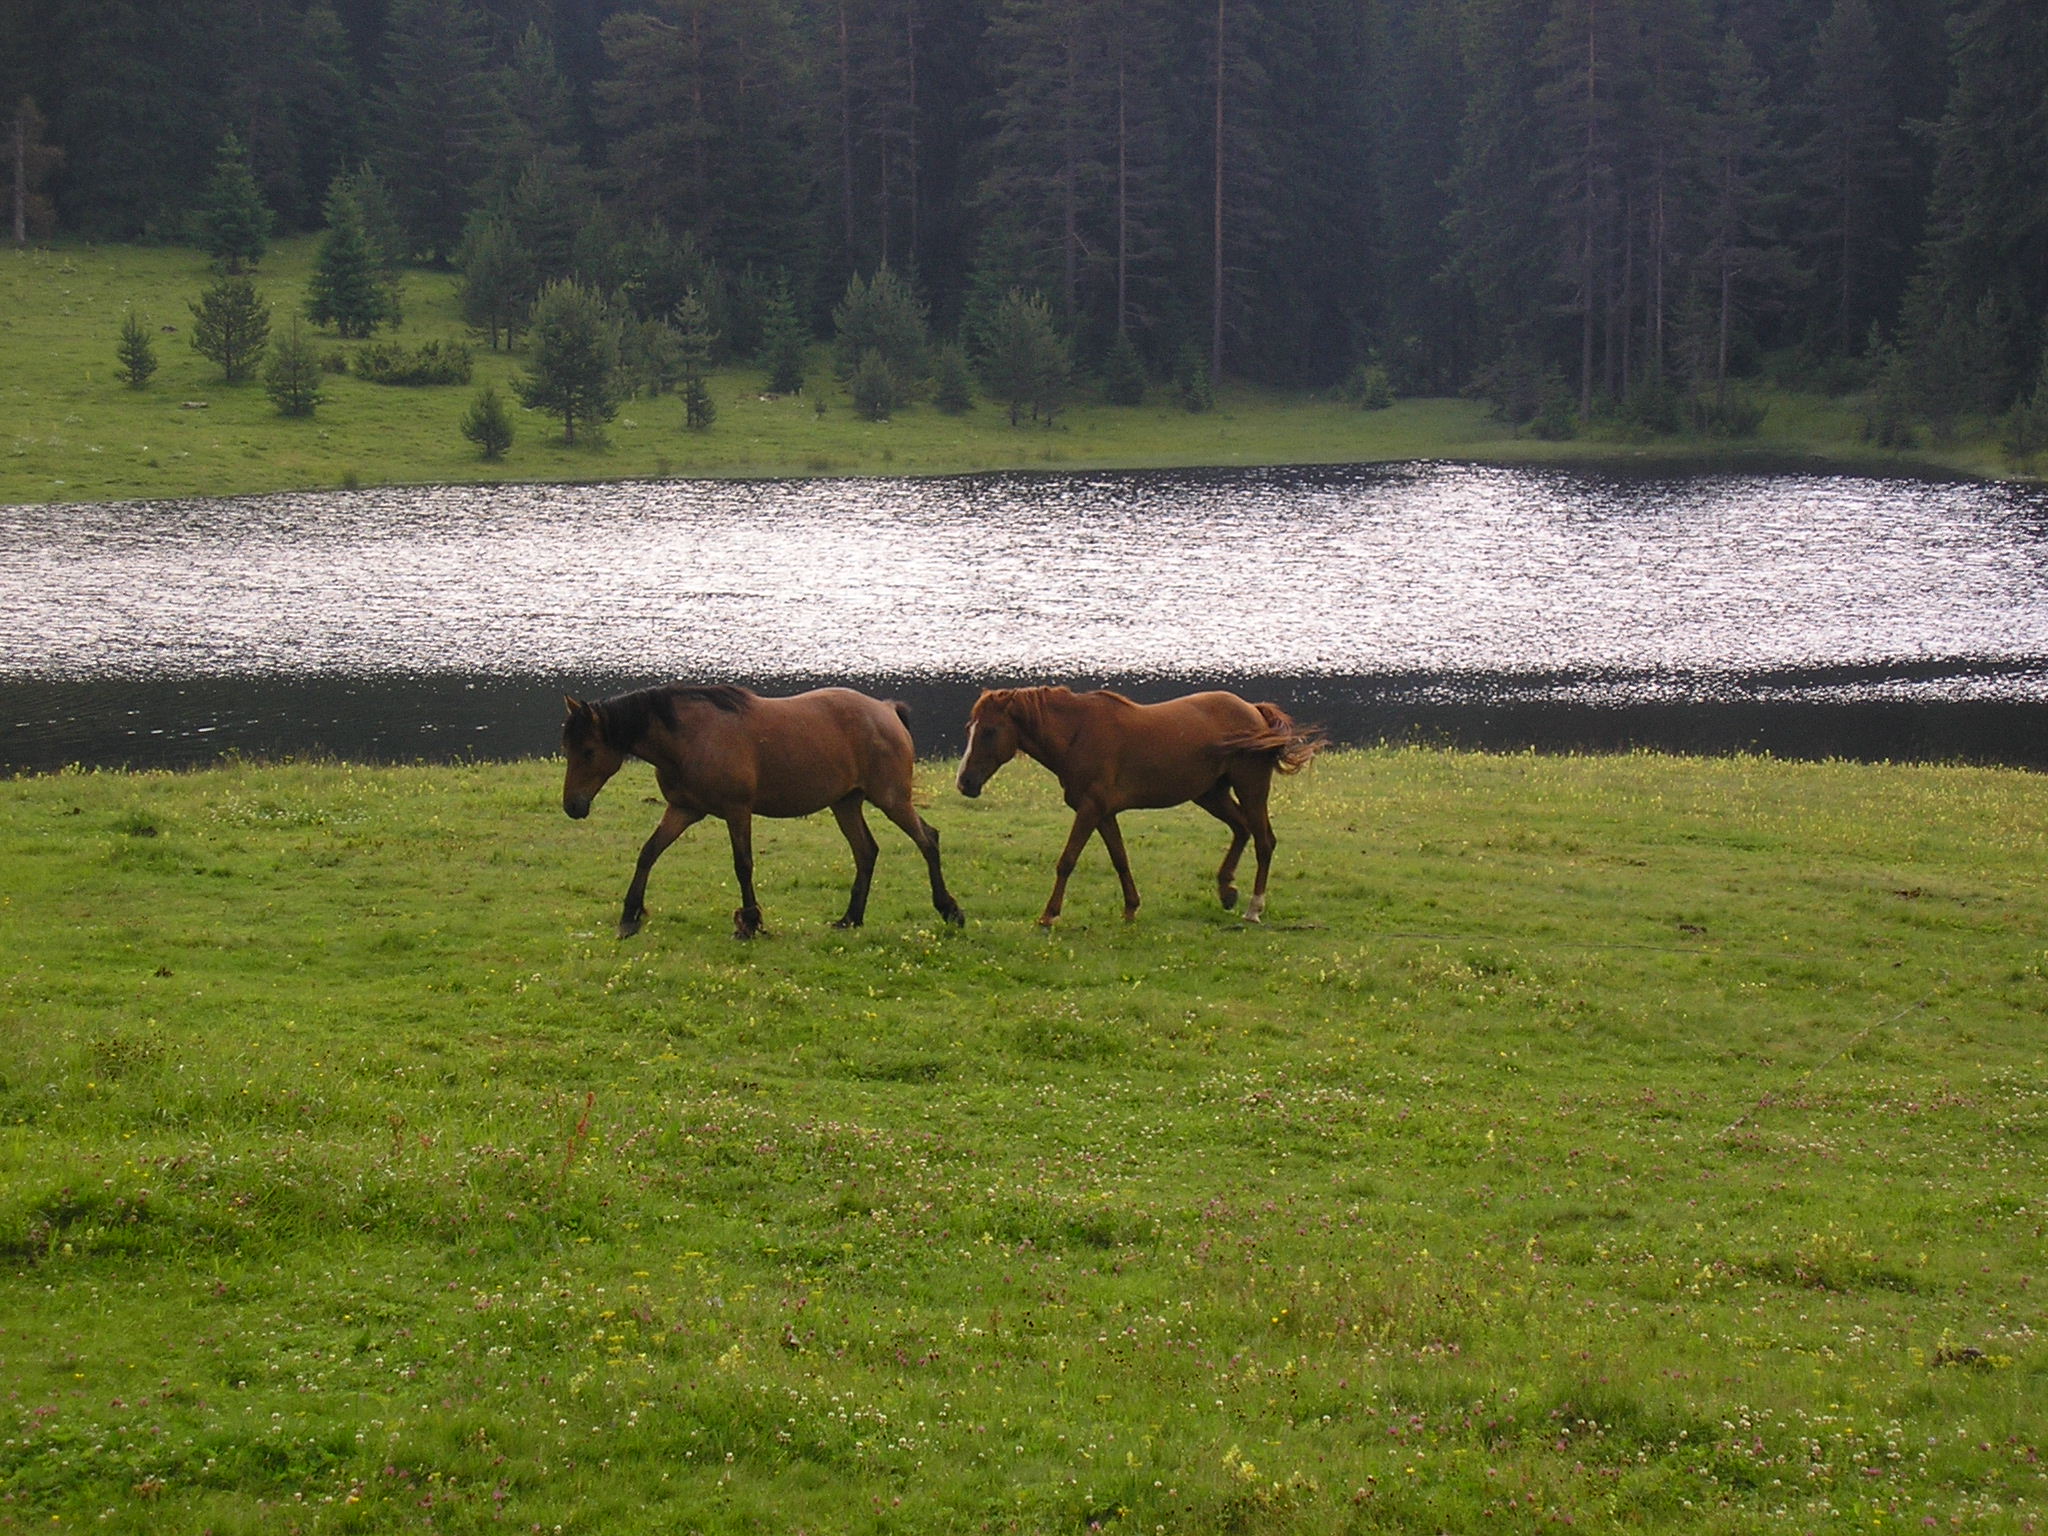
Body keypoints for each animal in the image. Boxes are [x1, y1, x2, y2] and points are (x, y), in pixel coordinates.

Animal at [561, 684, 966, 937]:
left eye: (589, 751)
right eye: (568, 747)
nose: (572, 806)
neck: (691, 736)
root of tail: (886, 710)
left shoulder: (737, 811)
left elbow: (743, 865)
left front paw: (750, 922)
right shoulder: (683, 809)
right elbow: (648, 853)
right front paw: (630, 916)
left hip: (892, 799)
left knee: (927, 840)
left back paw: (949, 909)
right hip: (846, 803)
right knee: (866, 852)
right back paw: (850, 918)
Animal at [950, 696, 1318, 933]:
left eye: (989, 731)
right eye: (969, 728)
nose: (964, 782)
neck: (1077, 733)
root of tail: (1254, 711)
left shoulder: (1090, 810)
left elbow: (1067, 860)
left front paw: (1049, 915)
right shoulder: (1102, 813)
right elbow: (1120, 859)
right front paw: (1130, 908)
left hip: (1250, 788)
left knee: (1264, 841)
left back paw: (1254, 908)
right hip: (1210, 794)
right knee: (1242, 829)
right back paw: (1226, 889)